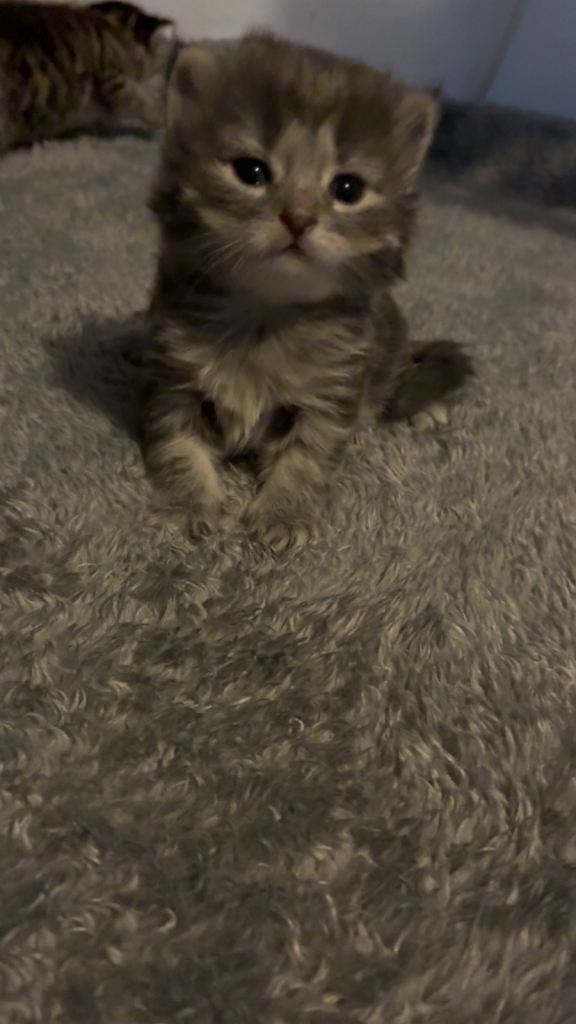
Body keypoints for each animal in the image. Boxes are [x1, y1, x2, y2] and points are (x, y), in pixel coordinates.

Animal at [142, 33, 472, 551]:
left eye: (348, 188)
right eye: (251, 171)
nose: (299, 218)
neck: (265, 314)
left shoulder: (331, 393)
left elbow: (307, 457)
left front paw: (284, 513)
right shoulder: (173, 377)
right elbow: (177, 445)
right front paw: (189, 503)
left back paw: (427, 409)